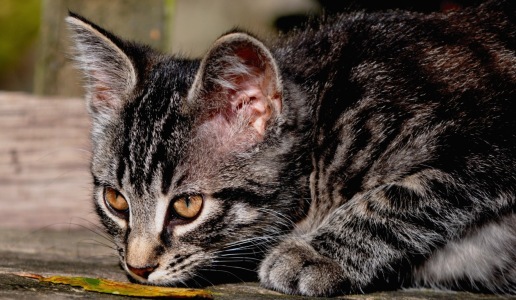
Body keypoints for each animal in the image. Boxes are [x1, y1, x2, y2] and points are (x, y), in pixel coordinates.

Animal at [67, 0, 516, 296]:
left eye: (187, 206)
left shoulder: (489, 146)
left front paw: (313, 255)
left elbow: (403, 194)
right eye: (115, 200)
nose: (138, 268)